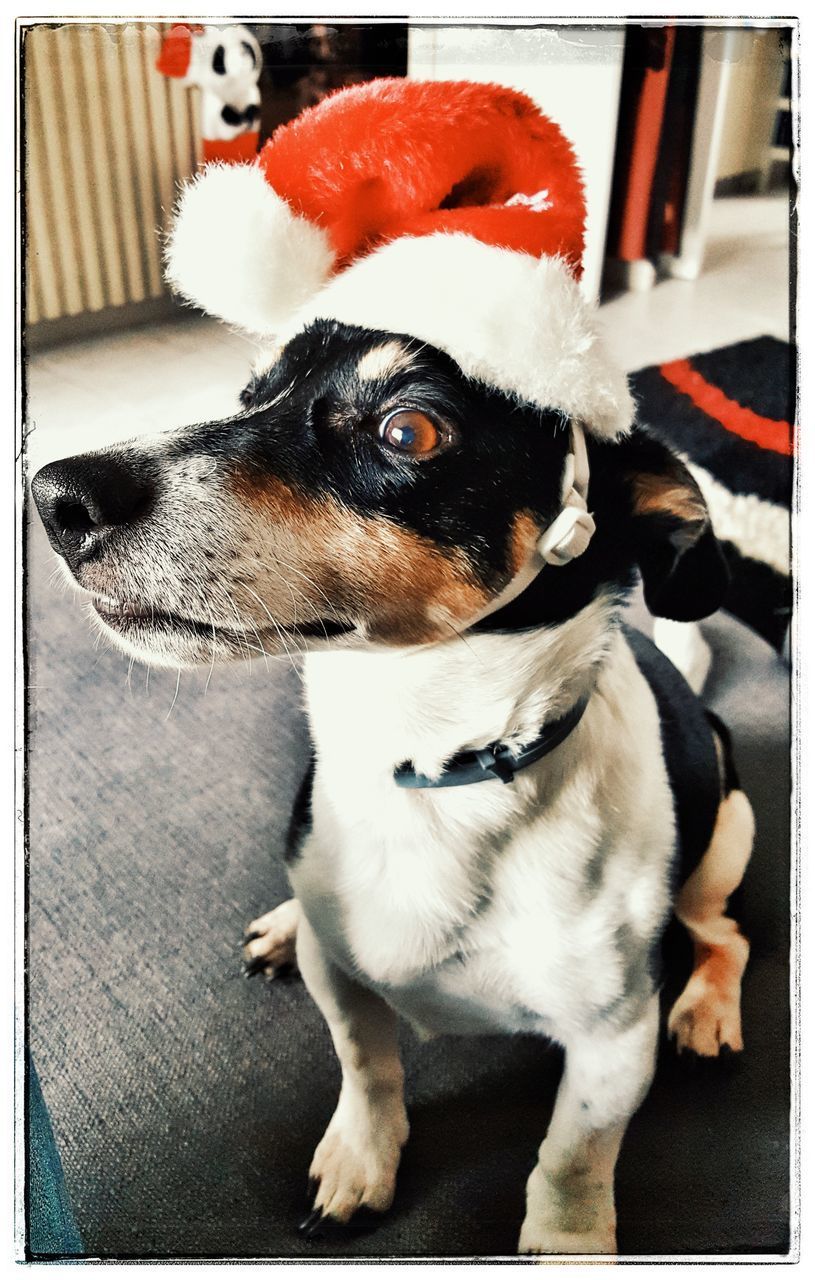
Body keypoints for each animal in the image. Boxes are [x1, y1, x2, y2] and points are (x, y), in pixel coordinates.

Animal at [35, 317, 752, 1249]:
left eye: (408, 431)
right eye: (249, 394)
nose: (55, 497)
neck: (433, 774)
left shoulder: (614, 1043)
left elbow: (571, 1159)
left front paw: (567, 1244)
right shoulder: (342, 977)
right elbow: (367, 1066)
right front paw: (360, 1161)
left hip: (725, 842)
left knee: (724, 935)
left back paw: (706, 1008)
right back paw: (283, 922)